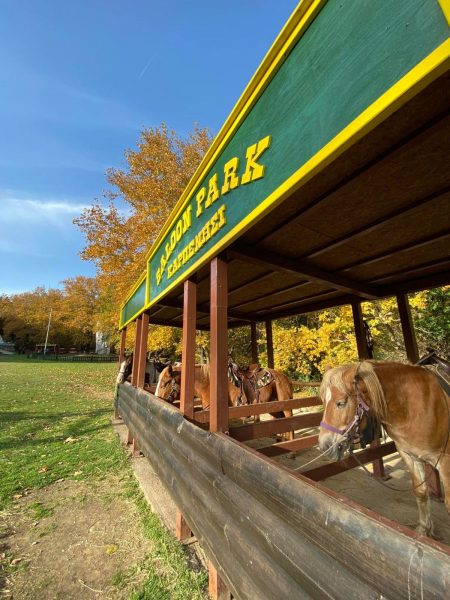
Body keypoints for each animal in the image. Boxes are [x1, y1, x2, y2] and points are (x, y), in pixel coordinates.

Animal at [316, 358, 450, 536]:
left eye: (341, 403)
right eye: (324, 402)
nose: (324, 445)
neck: (413, 406)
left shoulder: (445, 461)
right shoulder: (410, 456)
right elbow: (421, 492)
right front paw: (423, 530)